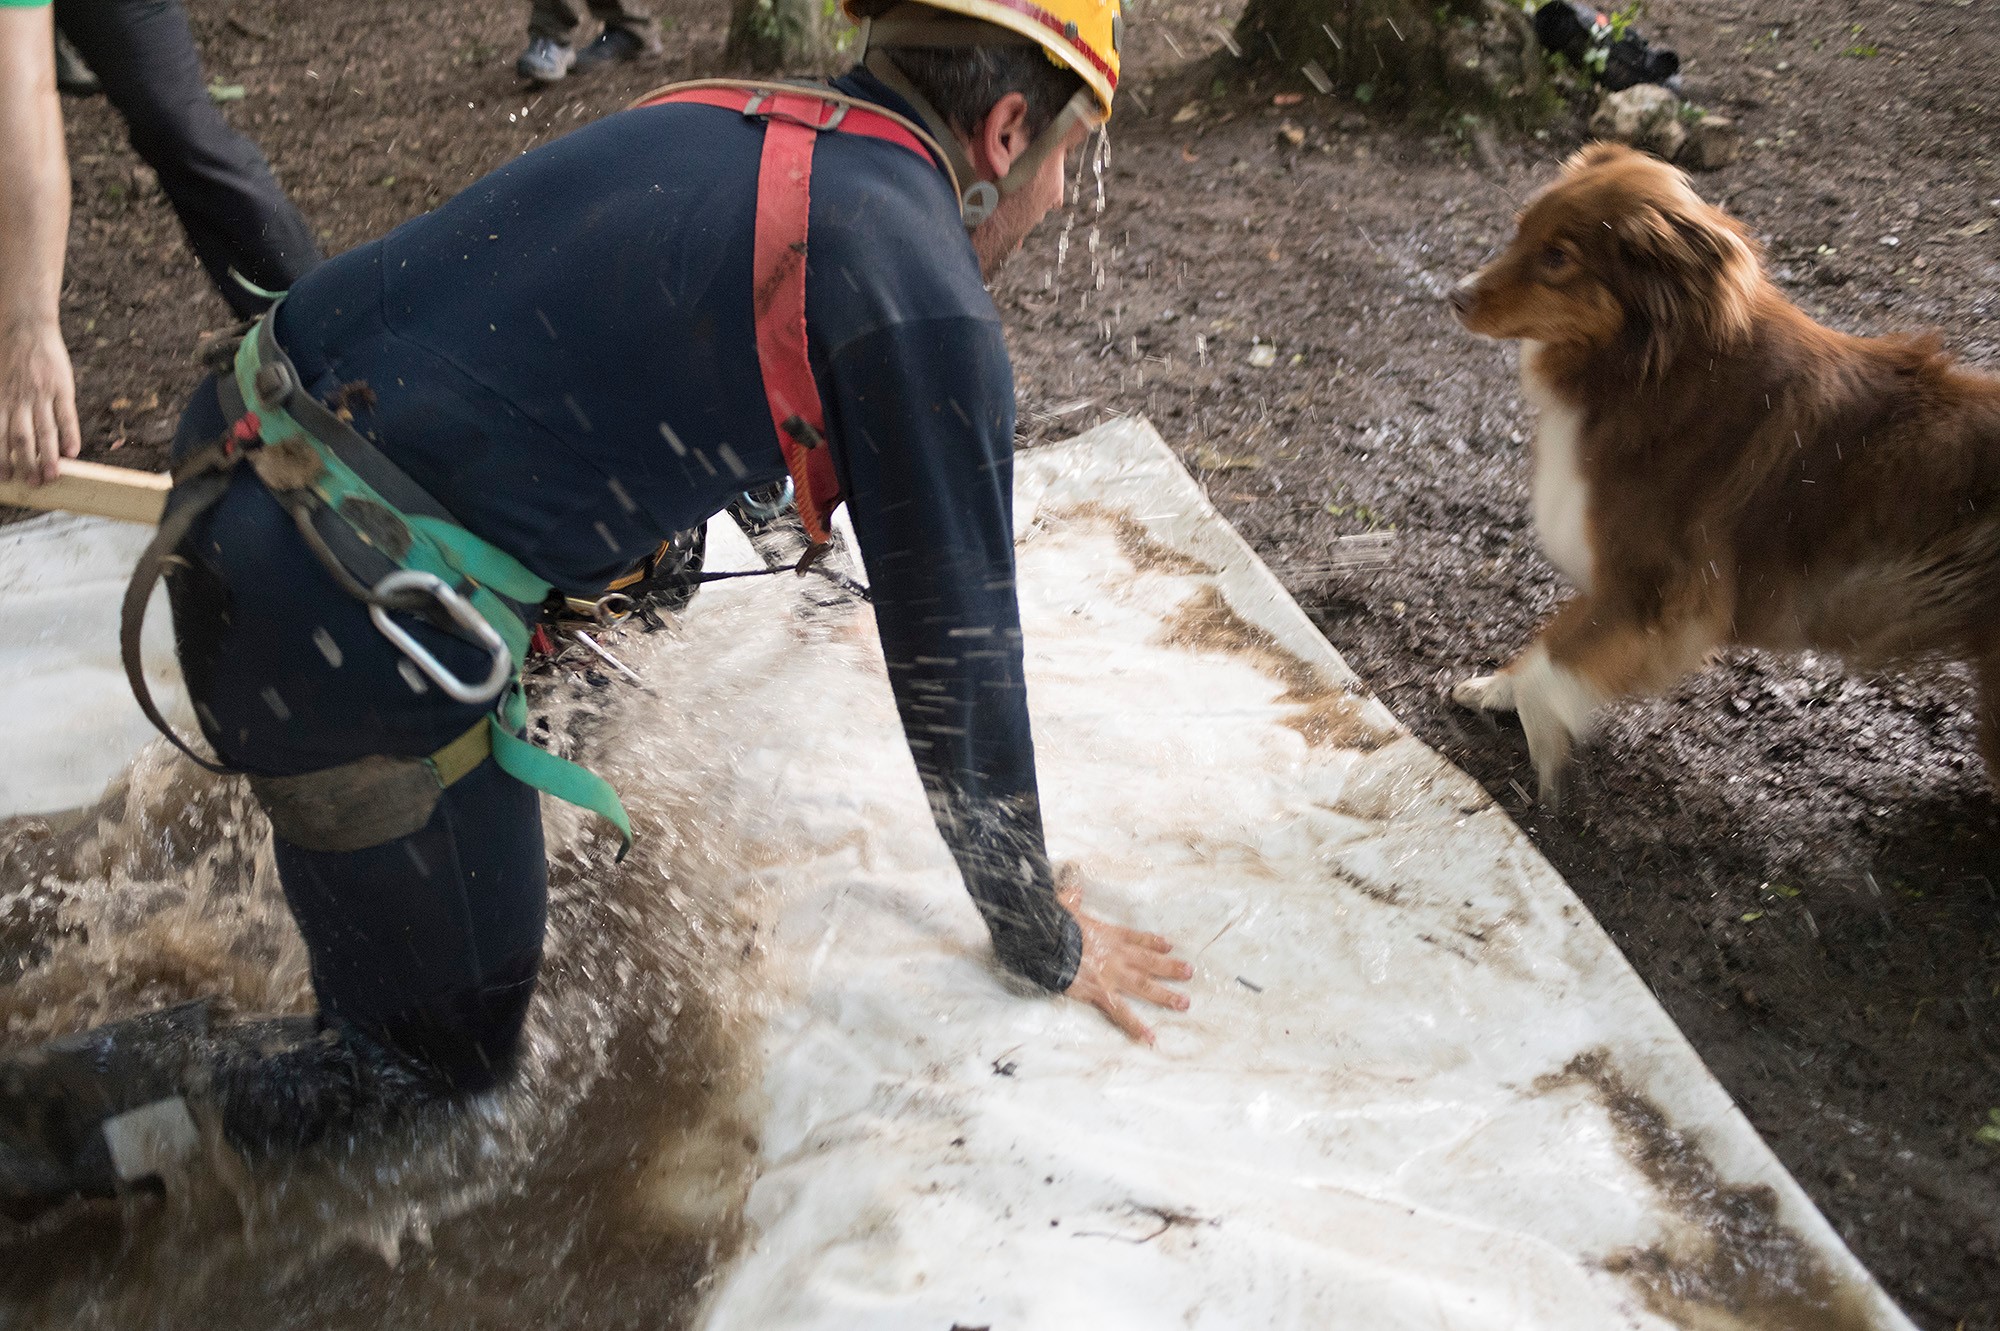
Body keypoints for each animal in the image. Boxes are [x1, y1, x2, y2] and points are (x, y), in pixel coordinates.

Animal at [1448, 139, 2000, 791]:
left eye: (1557, 257)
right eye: (1519, 231)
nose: (1454, 295)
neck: (1651, 370)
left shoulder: (1662, 586)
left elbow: (1557, 651)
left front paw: (1541, 735)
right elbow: (1547, 638)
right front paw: (1498, 689)